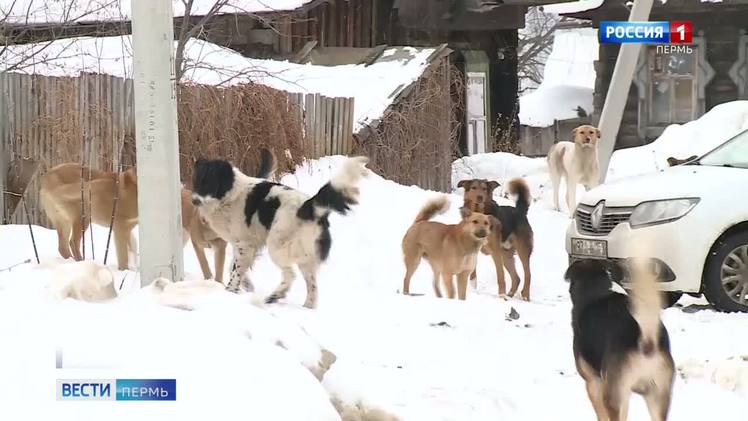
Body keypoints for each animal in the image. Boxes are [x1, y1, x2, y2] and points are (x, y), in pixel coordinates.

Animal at [39, 164, 226, 278]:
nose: (182, 183)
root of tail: (46, 177)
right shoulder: (120, 227)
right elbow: (123, 255)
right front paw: (124, 272)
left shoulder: (127, 229)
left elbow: (131, 250)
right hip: (82, 216)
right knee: (73, 242)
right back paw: (80, 262)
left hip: (63, 222)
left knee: (63, 246)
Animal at [191, 152, 370, 308]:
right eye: (196, 181)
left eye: (209, 182)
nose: (194, 201)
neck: (230, 193)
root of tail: (308, 207)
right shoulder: (244, 245)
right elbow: (234, 266)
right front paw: (247, 285)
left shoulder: (243, 244)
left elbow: (235, 271)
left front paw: (230, 292)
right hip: (306, 259)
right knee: (312, 288)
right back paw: (304, 307)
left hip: (277, 246)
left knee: (290, 275)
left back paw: (275, 296)